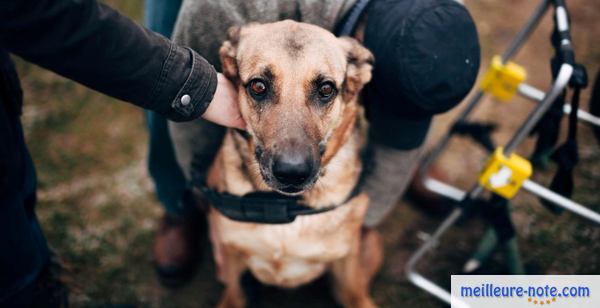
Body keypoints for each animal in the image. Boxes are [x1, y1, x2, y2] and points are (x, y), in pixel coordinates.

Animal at [206, 20, 382, 306]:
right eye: (258, 86)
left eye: (326, 89)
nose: (292, 173)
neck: (284, 209)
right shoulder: (231, 260)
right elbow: (235, 294)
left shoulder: (348, 270)